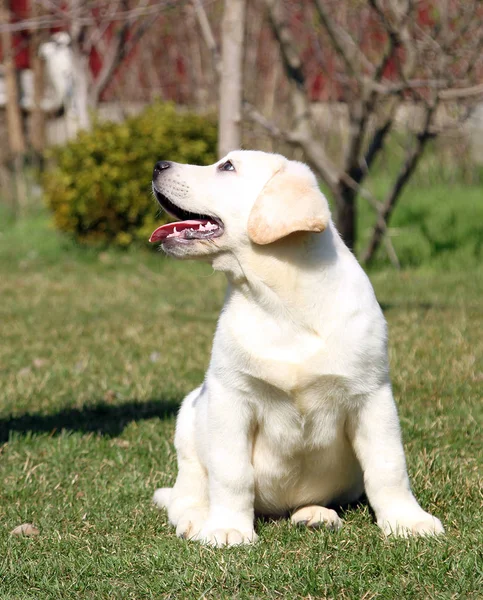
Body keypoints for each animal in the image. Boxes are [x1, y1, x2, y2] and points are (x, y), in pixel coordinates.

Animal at [149, 149, 444, 544]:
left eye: (227, 167)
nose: (157, 166)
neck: (282, 303)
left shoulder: (372, 395)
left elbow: (388, 466)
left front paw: (407, 521)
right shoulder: (231, 396)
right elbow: (231, 473)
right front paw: (228, 528)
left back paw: (315, 514)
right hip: (189, 417)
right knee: (187, 489)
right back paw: (195, 518)